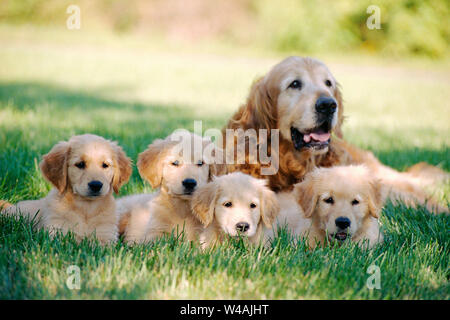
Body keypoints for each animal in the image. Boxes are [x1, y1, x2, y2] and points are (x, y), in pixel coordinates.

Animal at [0, 134, 132, 244]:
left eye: (105, 165)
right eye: (80, 164)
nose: (96, 185)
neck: (86, 209)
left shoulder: (106, 236)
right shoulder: (58, 233)